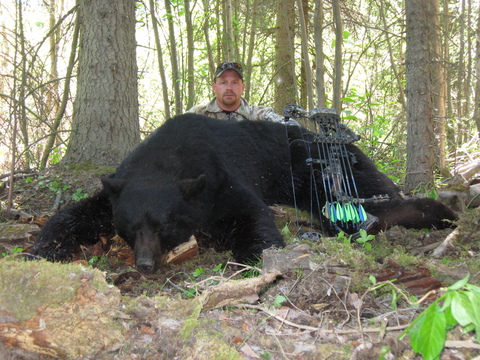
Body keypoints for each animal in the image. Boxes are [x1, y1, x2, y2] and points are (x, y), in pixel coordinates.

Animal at [28, 114, 456, 272]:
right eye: (131, 227)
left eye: (165, 225)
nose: (145, 264)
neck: (167, 158)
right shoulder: (121, 184)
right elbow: (79, 212)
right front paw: (41, 249)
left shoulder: (218, 177)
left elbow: (249, 214)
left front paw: (259, 257)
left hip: (319, 168)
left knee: (372, 195)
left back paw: (434, 211)